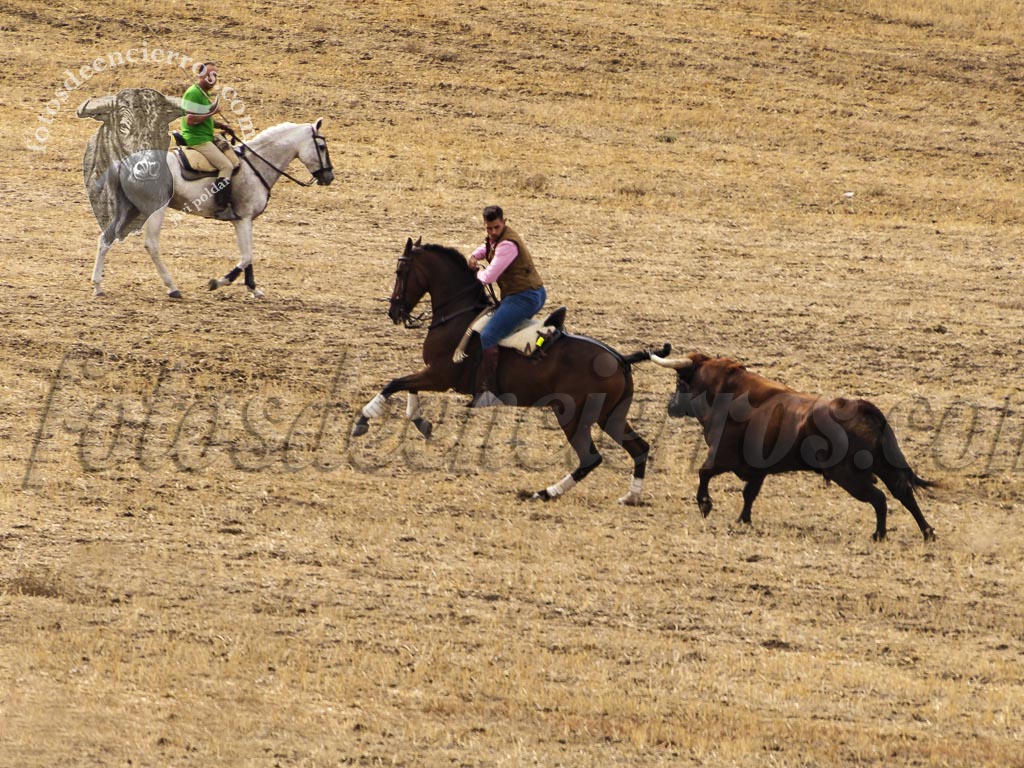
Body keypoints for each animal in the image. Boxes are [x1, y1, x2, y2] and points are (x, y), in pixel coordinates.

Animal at [89, 119, 334, 299]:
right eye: (322, 147)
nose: (329, 177)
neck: (256, 164)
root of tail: (126, 163)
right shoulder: (244, 218)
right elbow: (246, 256)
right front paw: (218, 282)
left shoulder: (242, 221)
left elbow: (249, 256)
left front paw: (253, 288)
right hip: (154, 209)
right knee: (151, 244)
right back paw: (172, 287)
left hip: (129, 209)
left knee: (106, 238)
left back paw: (98, 286)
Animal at [351, 238, 670, 504]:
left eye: (400, 271)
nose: (394, 312)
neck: (459, 315)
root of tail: (620, 358)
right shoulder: (434, 375)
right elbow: (409, 387)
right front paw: (422, 423)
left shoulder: (440, 376)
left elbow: (395, 383)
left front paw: (363, 420)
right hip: (611, 417)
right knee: (639, 448)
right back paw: (630, 497)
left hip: (573, 416)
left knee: (590, 458)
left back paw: (544, 493)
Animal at [651, 351, 936, 542]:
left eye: (679, 383)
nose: (671, 407)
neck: (725, 394)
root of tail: (862, 407)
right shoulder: (757, 470)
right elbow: (749, 494)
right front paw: (743, 520)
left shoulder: (721, 456)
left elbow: (704, 473)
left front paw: (705, 504)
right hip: (883, 466)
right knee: (903, 493)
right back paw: (927, 532)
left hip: (849, 476)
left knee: (880, 498)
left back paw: (880, 534)